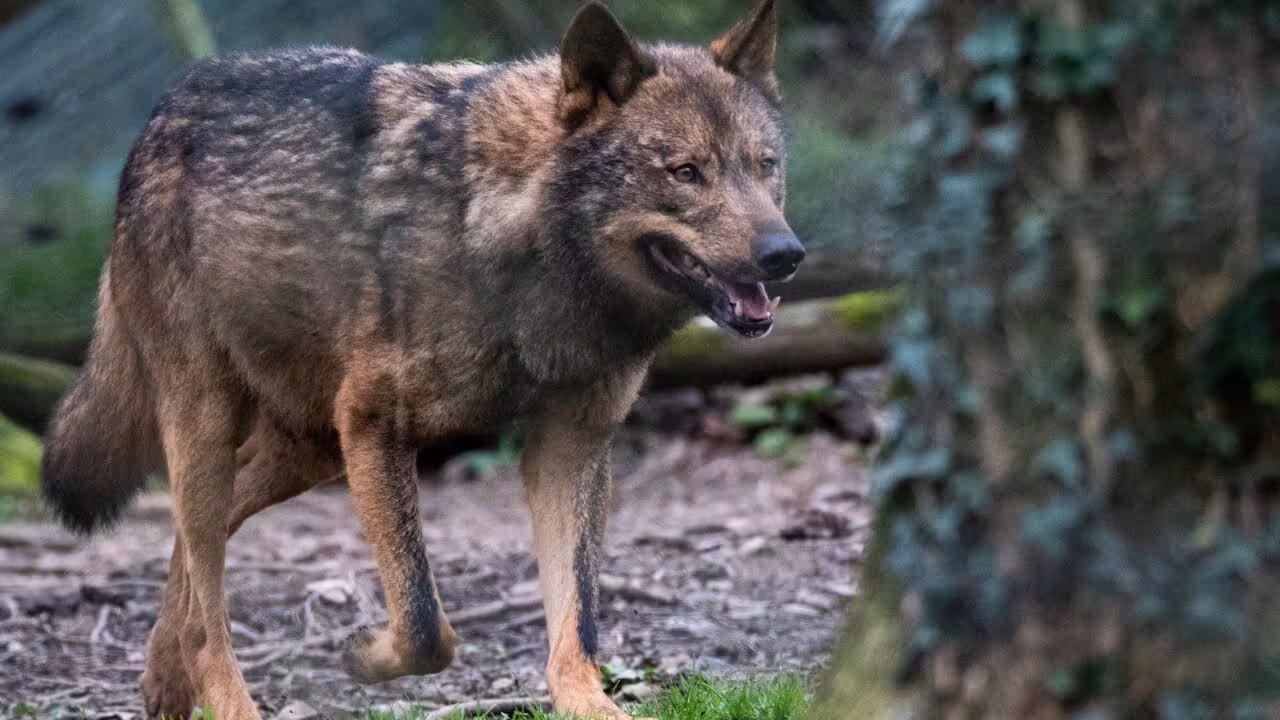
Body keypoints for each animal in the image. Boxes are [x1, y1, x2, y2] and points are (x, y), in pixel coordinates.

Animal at [40, 1, 803, 717]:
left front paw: (591, 704)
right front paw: (362, 654)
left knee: (196, 548)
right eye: (687, 172)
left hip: (308, 450)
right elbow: (425, 623)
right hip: (214, 425)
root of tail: (163, 108)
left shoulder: (571, 444)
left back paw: (164, 678)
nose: (786, 255)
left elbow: (577, 620)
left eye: (765, 168)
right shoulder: (375, 424)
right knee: (208, 600)